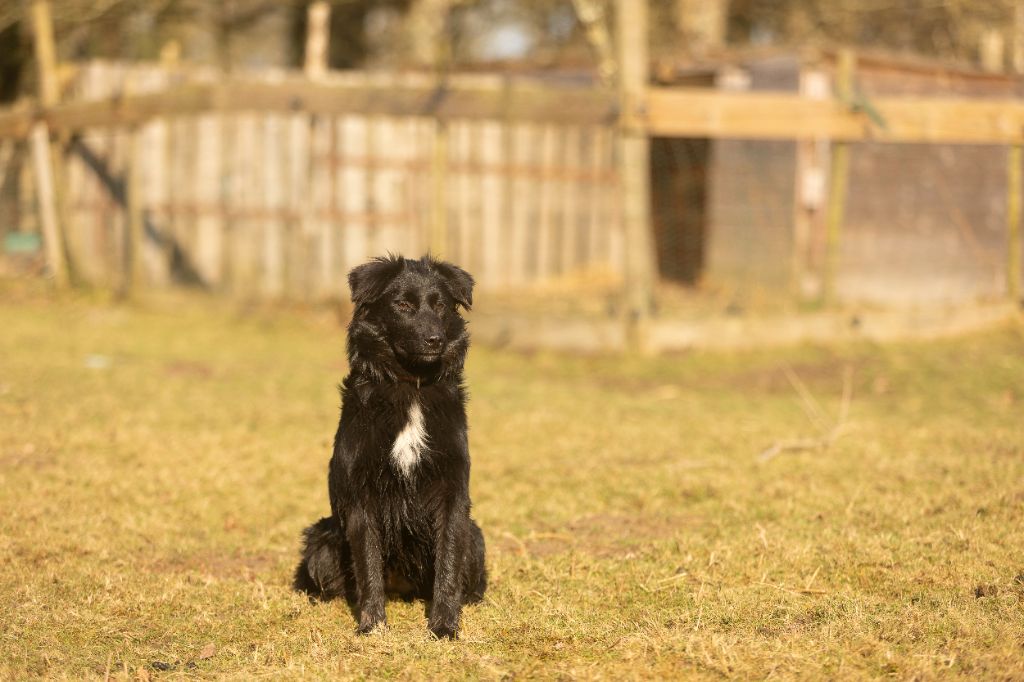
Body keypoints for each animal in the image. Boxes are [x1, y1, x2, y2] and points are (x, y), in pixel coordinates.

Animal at [296, 253, 487, 638]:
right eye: (402, 305)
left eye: (440, 305)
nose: (434, 340)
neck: (410, 385)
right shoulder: (362, 495)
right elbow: (368, 564)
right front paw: (373, 627)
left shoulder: (452, 492)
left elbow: (448, 563)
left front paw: (444, 626)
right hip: (320, 541)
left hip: (475, 538)